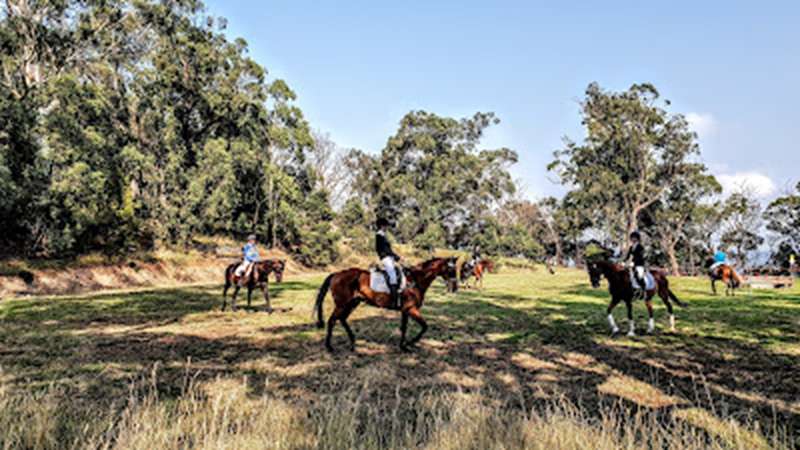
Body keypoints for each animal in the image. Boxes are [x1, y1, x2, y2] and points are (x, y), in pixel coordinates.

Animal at [316, 256, 460, 352]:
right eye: (450, 270)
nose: (455, 287)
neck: (415, 280)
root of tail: (337, 274)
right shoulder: (411, 309)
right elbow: (424, 326)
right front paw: (410, 343)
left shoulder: (405, 310)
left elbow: (404, 328)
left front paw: (403, 346)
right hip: (342, 304)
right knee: (332, 320)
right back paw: (329, 347)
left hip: (352, 303)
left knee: (342, 319)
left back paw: (352, 342)